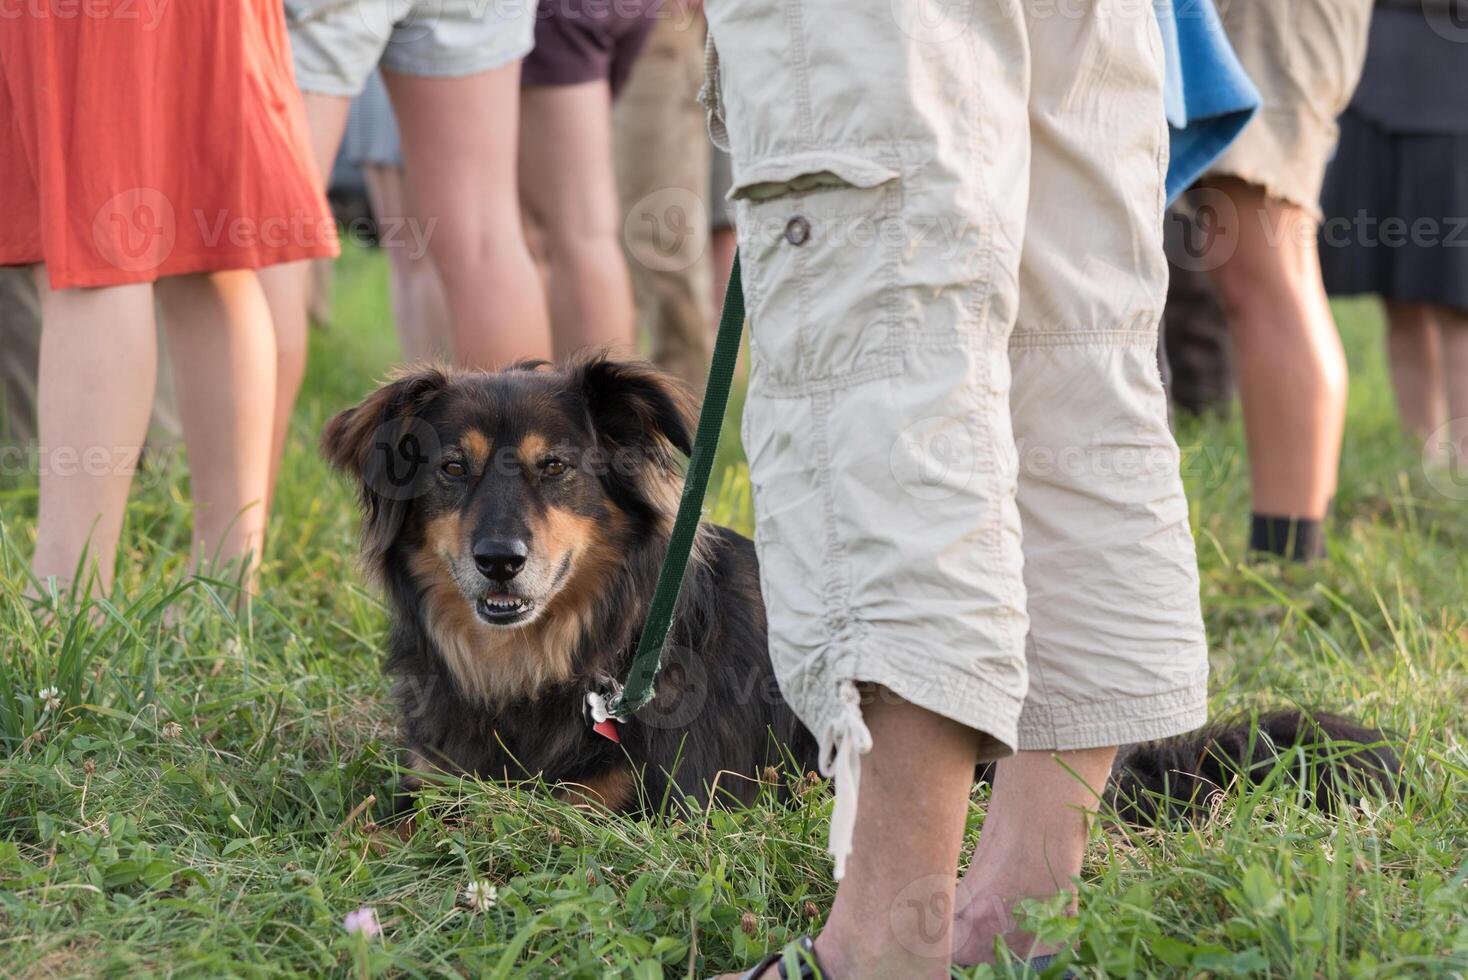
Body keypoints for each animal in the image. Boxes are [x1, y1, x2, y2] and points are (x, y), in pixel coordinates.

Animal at [321, 356, 1397, 821]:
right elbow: (389, 813)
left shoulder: (655, 803)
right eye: (450, 471)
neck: (559, 653)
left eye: (556, 469)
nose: (499, 559)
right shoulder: (433, 776)